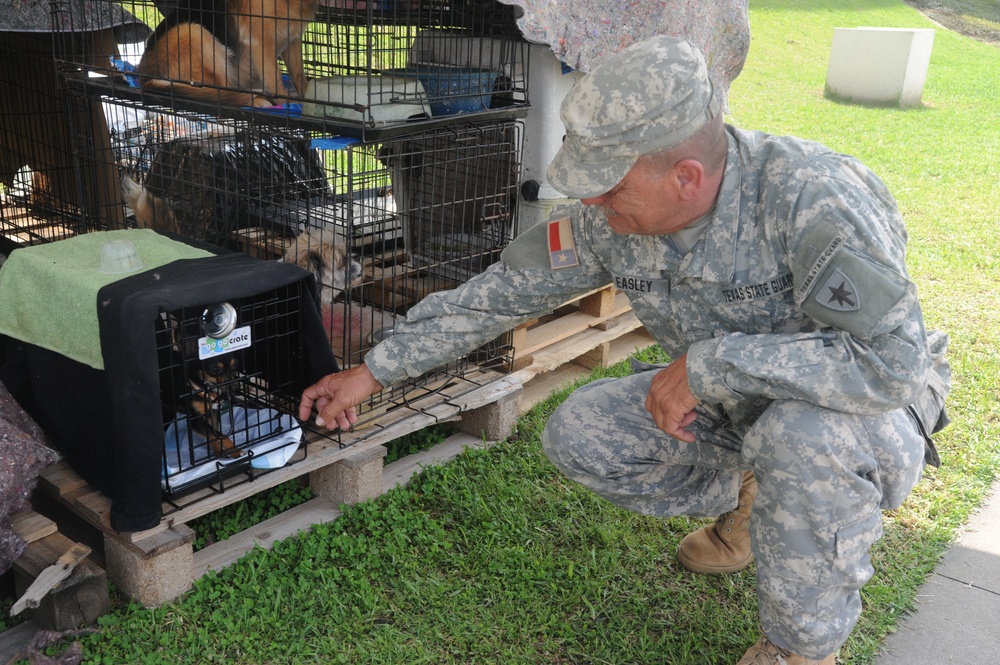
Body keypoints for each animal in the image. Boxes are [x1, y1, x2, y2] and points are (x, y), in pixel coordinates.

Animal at [136, 0, 316, 105]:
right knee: (223, 94)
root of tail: (144, 76)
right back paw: (258, 100)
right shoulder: (261, 42)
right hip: (192, 32)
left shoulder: (293, 40)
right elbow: (276, 82)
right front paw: (288, 104)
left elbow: (299, 77)